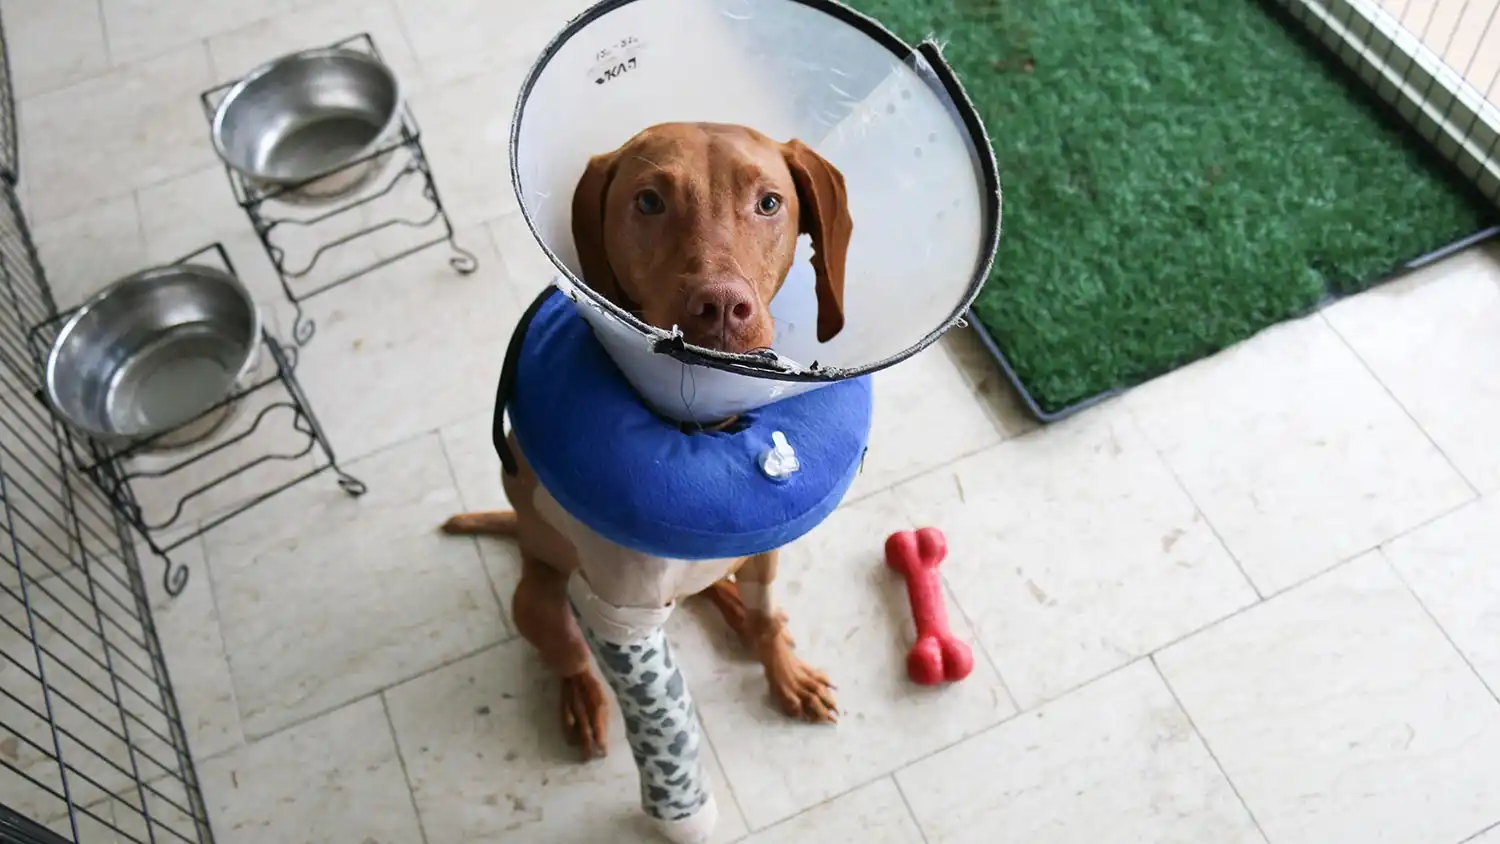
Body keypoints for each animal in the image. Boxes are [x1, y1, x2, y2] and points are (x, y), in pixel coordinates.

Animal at [438, 123, 852, 758]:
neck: (698, 427)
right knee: (569, 653)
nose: (722, 307)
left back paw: (735, 610)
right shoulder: (622, 600)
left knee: (719, 592)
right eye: (649, 202)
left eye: (769, 203)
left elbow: (765, 615)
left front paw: (785, 673)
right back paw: (582, 697)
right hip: (536, 599)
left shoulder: (767, 552)